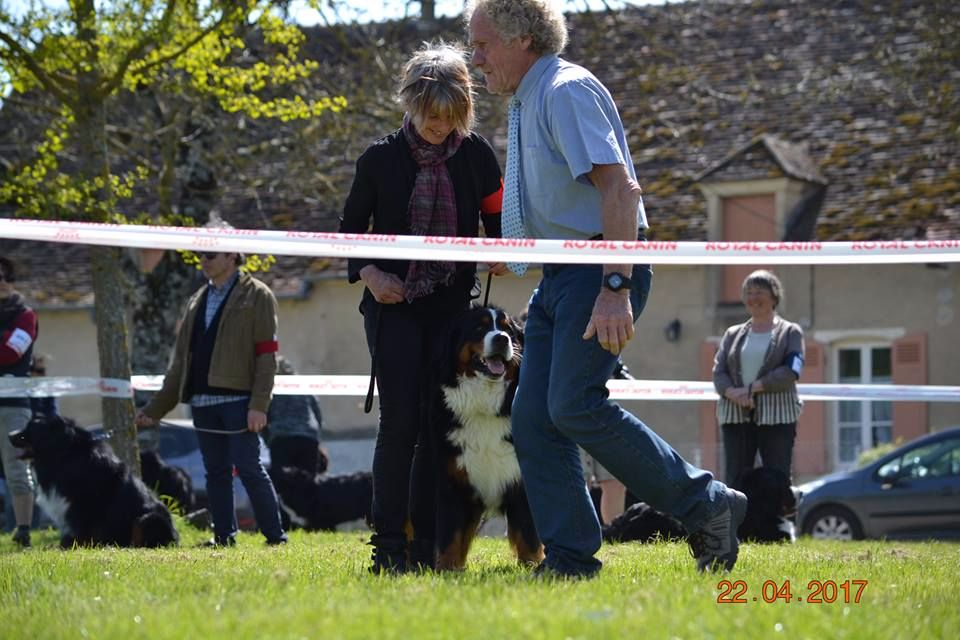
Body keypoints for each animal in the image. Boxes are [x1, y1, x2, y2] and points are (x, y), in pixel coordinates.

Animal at [9, 416, 179, 552]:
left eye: (31, 428)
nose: (10, 435)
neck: (64, 454)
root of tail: (177, 538)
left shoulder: (82, 505)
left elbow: (81, 531)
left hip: (148, 519)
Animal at [432, 304, 544, 568]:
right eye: (479, 327)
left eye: (508, 330)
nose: (501, 339)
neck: (485, 405)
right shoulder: (453, 479)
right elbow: (451, 533)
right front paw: (447, 568)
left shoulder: (521, 480)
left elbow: (529, 534)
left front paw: (533, 565)